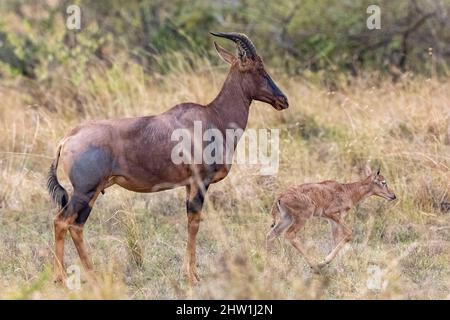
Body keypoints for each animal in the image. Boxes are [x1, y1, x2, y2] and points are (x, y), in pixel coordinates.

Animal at [46, 32, 288, 284]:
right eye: (258, 69)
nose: (283, 100)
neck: (213, 117)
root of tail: (68, 138)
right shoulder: (200, 182)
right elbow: (194, 224)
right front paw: (192, 276)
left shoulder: (189, 185)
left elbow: (190, 223)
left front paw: (190, 272)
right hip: (85, 190)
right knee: (61, 221)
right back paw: (60, 278)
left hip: (92, 192)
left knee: (76, 226)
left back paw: (93, 275)